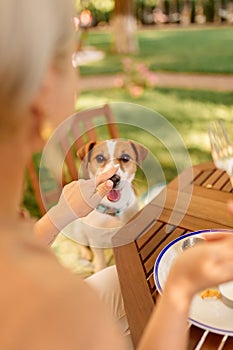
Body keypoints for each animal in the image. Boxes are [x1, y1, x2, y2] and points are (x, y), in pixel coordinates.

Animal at [63, 138, 147, 272]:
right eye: (100, 158)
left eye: (125, 158)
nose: (114, 178)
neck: (113, 210)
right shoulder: (95, 240)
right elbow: (100, 260)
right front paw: (100, 269)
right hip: (80, 231)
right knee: (81, 243)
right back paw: (86, 254)